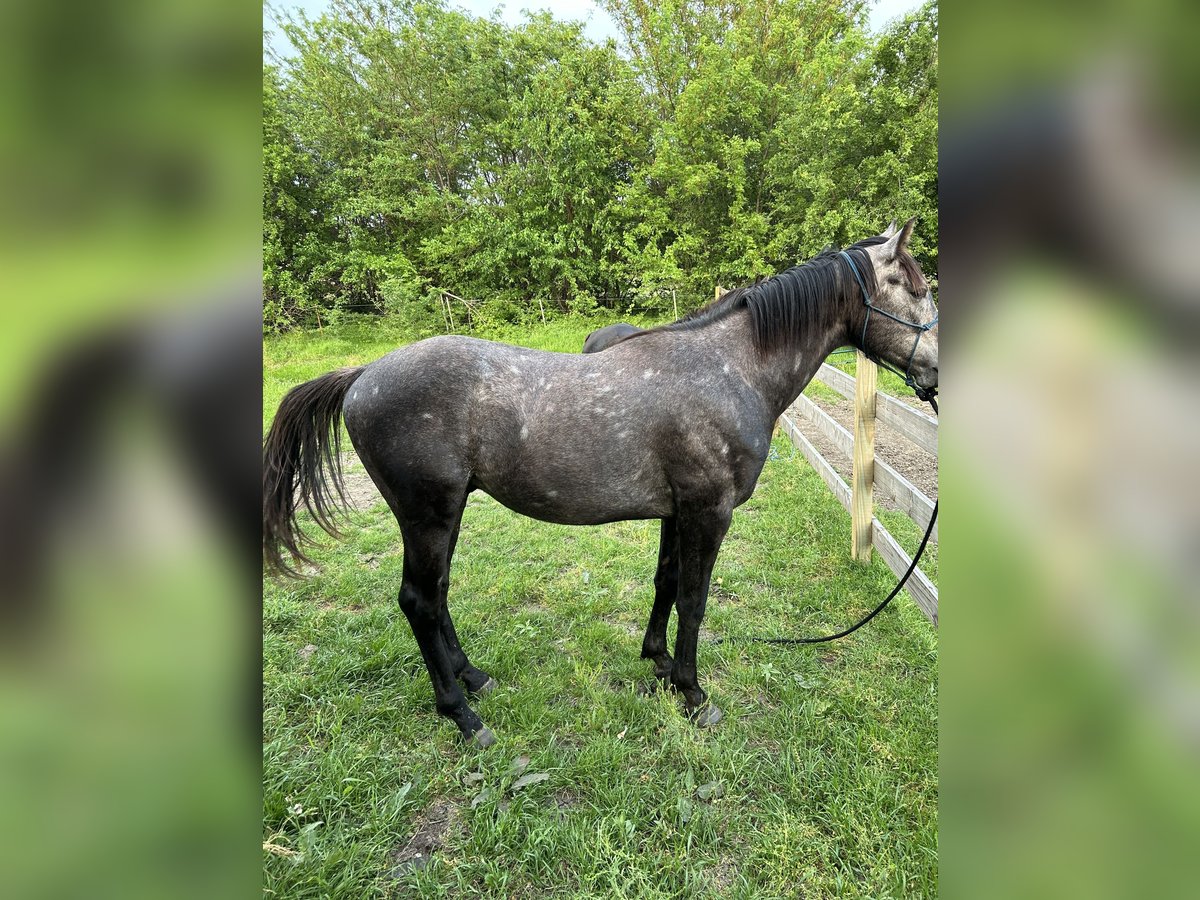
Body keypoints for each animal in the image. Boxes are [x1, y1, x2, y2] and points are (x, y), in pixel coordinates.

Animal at [262, 218, 936, 748]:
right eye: (918, 288)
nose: (933, 376)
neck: (729, 370)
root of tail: (363, 375)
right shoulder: (709, 511)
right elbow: (695, 599)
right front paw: (694, 695)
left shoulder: (677, 512)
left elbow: (667, 584)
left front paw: (659, 662)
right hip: (427, 515)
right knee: (419, 602)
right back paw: (464, 716)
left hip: (444, 516)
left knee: (439, 594)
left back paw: (473, 677)